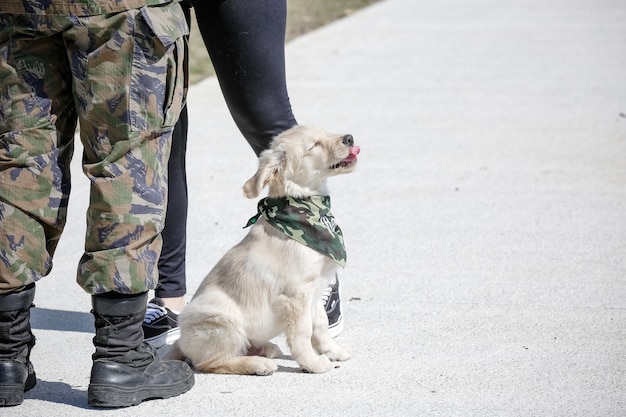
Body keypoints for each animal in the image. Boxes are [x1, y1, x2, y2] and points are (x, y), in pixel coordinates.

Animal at [173, 124, 358, 374]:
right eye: (313, 145)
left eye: (325, 132)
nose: (349, 138)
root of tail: (180, 342)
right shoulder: (295, 296)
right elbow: (303, 332)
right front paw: (312, 363)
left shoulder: (315, 289)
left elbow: (320, 324)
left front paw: (333, 351)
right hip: (222, 320)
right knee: (210, 363)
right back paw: (257, 363)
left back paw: (263, 349)